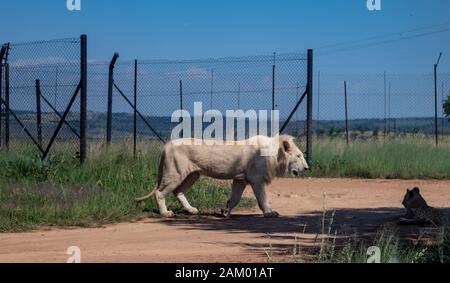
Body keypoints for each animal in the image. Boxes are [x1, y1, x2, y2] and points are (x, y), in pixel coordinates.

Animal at [134, 135, 310, 217]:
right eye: (299, 156)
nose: (307, 167)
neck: (275, 155)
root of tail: (167, 145)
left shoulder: (240, 180)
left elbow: (235, 198)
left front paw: (225, 211)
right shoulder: (256, 180)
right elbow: (262, 198)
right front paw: (269, 213)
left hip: (192, 175)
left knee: (179, 192)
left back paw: (192, 210)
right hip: (174, 173)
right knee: (160, 192)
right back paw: (166, 213)